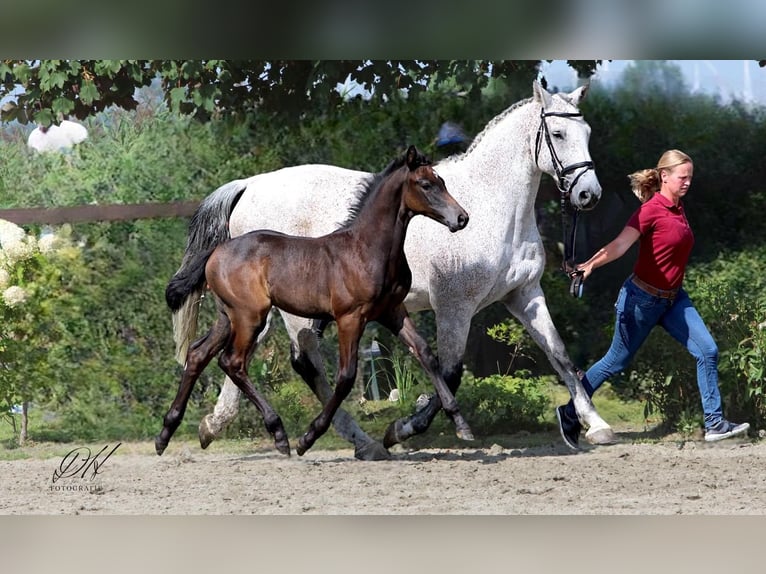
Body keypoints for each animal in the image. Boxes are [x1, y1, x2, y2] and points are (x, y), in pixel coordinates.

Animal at [156, 145, 472, 457]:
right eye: (426, 184)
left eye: (442, 181)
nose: (461, 218)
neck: (366, 249)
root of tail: (215, 252)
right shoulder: (349, 318)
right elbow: (346, 376)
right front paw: (308, 437)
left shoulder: (392, 311)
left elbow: (425, 354)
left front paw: (460, 423)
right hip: (250, 317)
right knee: (232, 362)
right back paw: (279, 434)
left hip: (229, 316)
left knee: (199, 354)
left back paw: (165, 434)